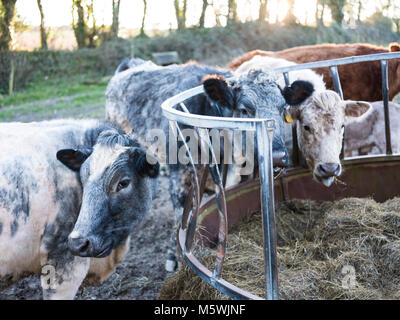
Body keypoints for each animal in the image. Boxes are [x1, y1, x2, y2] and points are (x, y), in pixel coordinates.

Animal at [103, 58, 312, 272]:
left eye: (282, 108)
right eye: (244, 109)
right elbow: (180, 216)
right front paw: (174, 257)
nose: (277, 155)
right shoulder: (179, 173)